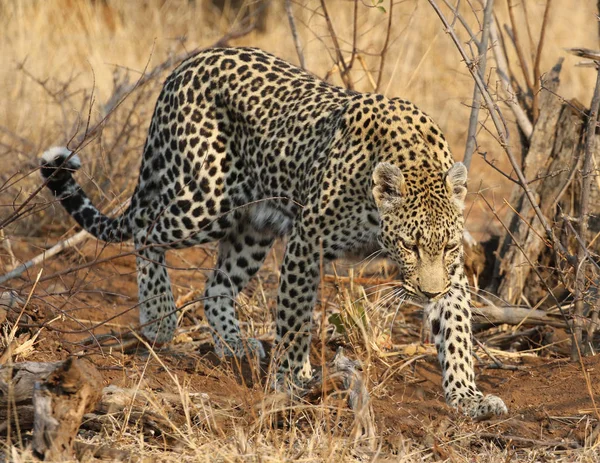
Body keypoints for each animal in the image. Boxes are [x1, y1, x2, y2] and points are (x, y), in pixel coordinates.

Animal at [39, 46, 506, 416]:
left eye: (448, 247)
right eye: (409, 246)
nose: (427, 292)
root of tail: (188, 63)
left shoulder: (453, 272)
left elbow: (456, 330)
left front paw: (468, 397)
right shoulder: (308, 237)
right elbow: (295, 315)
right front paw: (292, 377)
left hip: (253, 227)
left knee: (215, 284)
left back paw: (232, 344)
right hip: (205, 202)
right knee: (145, 230)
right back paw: (159, 317)